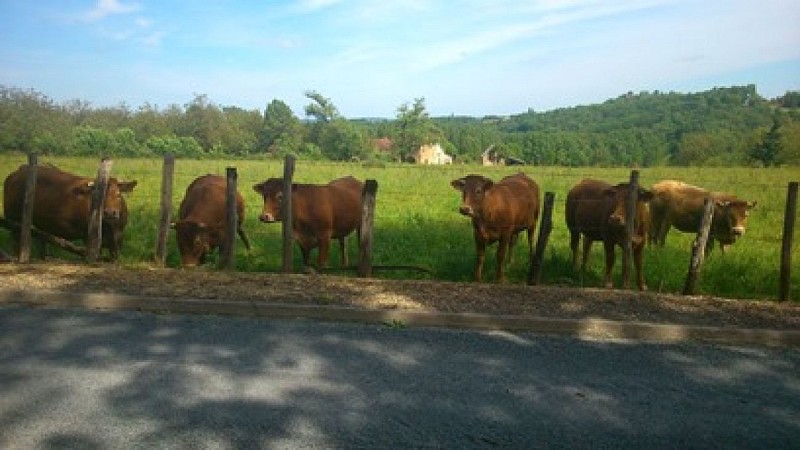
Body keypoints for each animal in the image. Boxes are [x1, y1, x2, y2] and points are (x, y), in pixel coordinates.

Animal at [3, 164, 137, 261]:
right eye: (100, 196)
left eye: (118, 195)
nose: (110, 213)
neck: (110, 227)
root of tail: (15, 173)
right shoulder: (88, 234)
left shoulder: (118, 236)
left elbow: (115, 256)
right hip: (13, 218)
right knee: (16, 239)